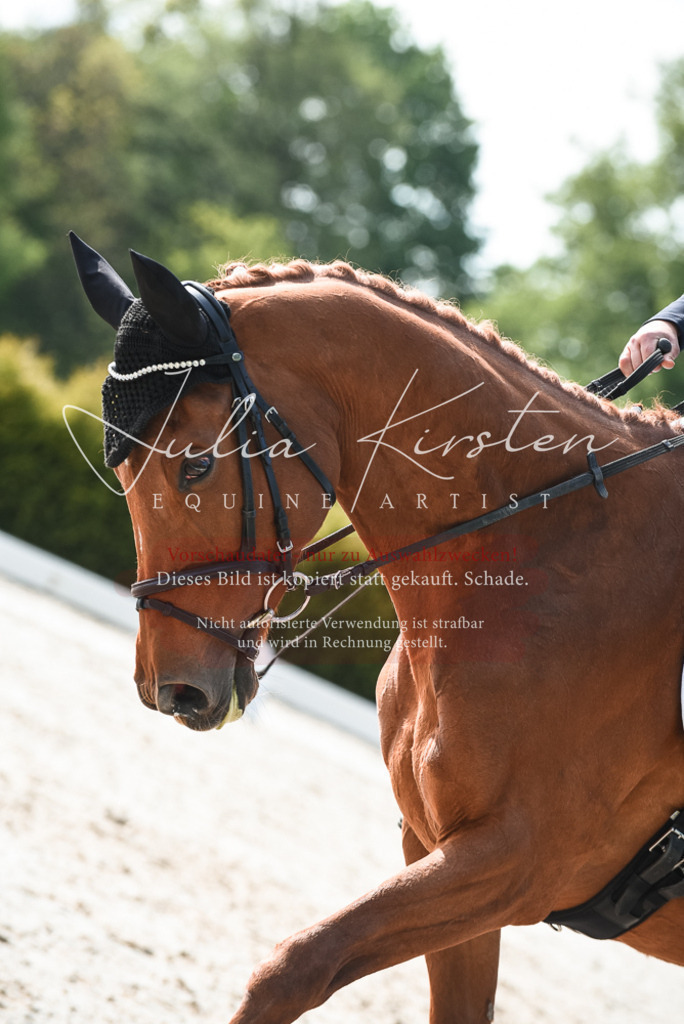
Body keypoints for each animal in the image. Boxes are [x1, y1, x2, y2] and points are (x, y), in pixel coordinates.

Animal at [70, 234, 684, 1023]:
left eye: (197, 465)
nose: (170, 690)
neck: (552, 554)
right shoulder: (433, 846)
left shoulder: (521, 861)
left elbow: (295, 965)